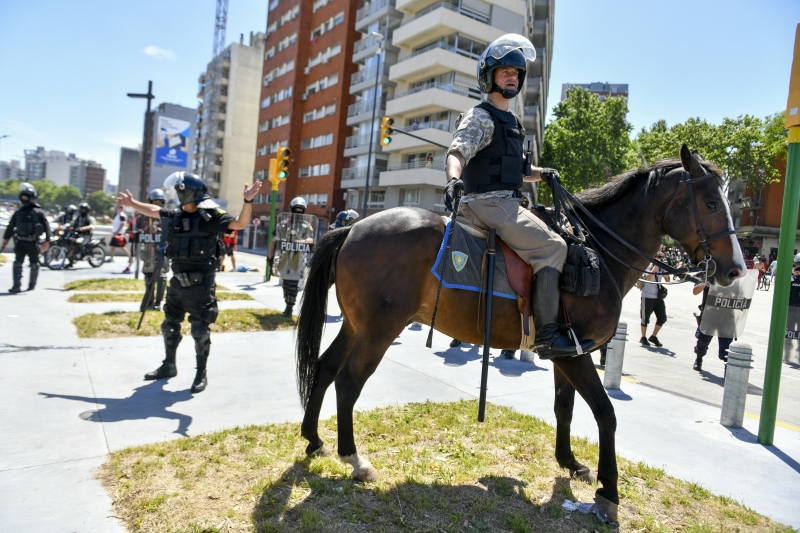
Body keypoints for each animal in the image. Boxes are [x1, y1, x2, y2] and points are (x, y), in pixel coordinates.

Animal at [294, 145, 744, 520]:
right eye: (709, 203)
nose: (736, 269)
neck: (596, 253)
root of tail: (354, 228)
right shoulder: (578, 355)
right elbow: (606, 413)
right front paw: (608, 492)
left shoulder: (566, 352)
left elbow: (565, 408)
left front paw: (570, 463)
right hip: (378, 331)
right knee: (348, 382)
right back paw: (354, 459)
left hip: (355, 326)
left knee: (325, 367)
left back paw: (314, 439)